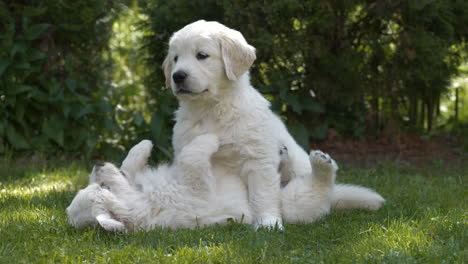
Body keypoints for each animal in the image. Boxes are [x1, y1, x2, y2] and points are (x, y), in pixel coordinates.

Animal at [66, 135, 368, 232]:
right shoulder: (196, 189)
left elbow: (129, 166)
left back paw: (283, 154)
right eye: (104, 188)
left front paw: (143, 146)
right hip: (292, 202)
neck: (143, 199)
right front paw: (210, 138)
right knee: (318, 189)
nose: (98, 163)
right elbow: (192, 156)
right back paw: (322, 163)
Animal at [164, 20, 384, 229]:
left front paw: (268, 223)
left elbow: (262, 195)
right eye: (175, 58)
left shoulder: (257, 159)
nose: (177, 76)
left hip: (296, 193)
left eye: (202, 55)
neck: (212, 109)